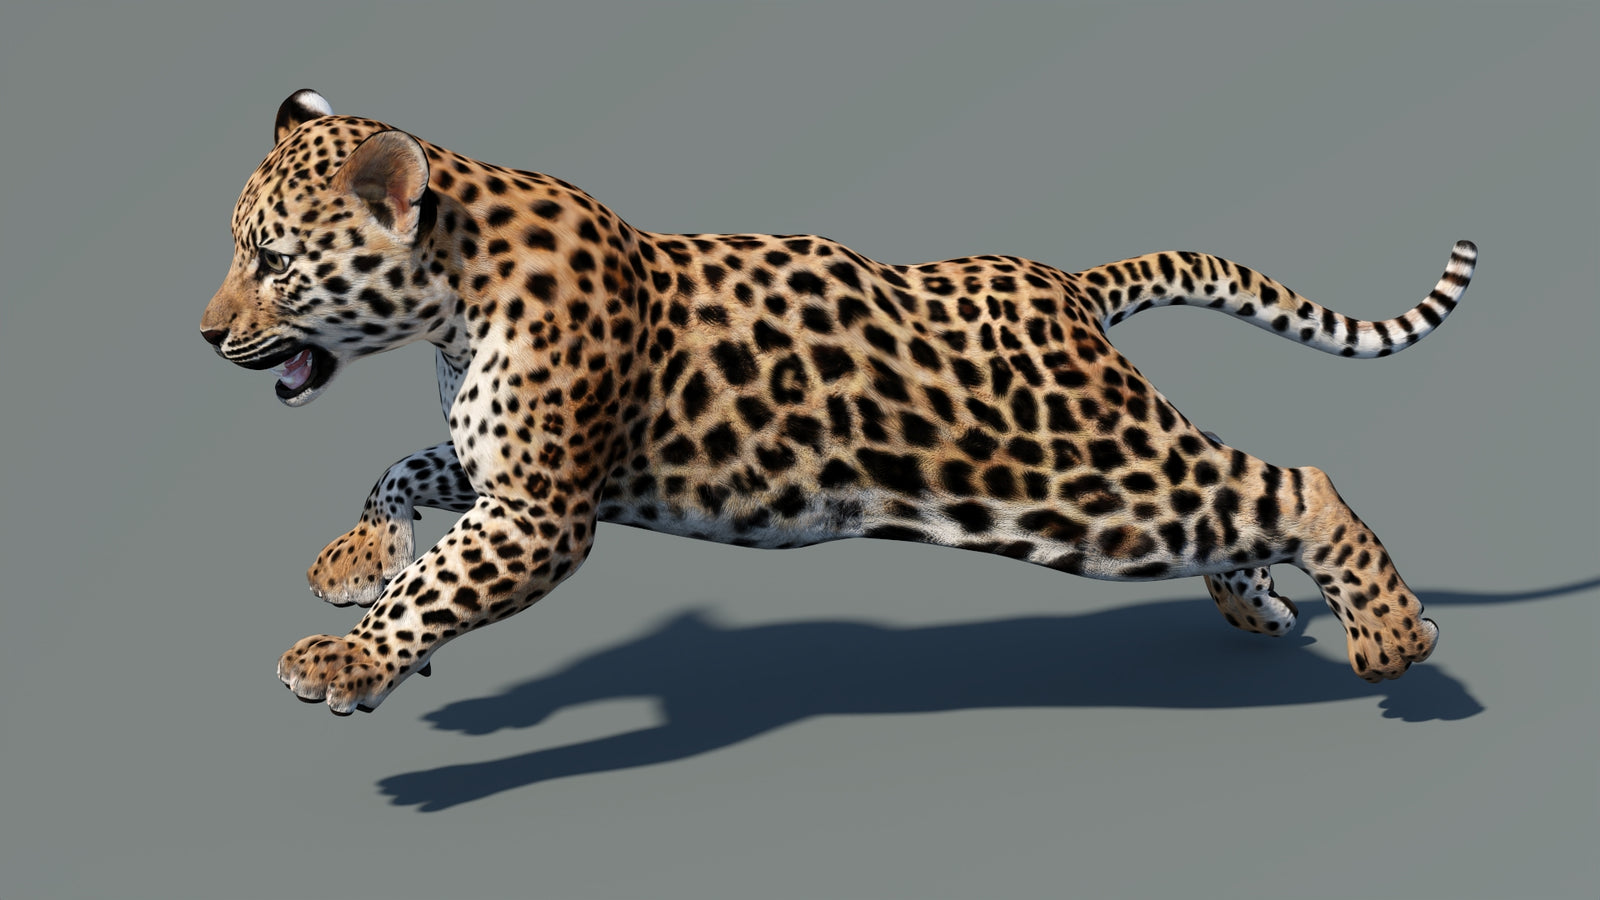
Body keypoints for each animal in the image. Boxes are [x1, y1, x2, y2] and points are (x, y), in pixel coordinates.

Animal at [201, 90, 1475, 715]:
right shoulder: (497, 471)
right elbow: (402, 474)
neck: (451, 300)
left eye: (271, 262)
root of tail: (1064, 281)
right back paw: (1260, 606)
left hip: (1077, 482)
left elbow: (438, 584)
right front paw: (355, 562)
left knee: (1294, 483)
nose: (207, 336)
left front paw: (348, 661)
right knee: (1235, 503)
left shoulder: (539, 510)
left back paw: (1393, 640)